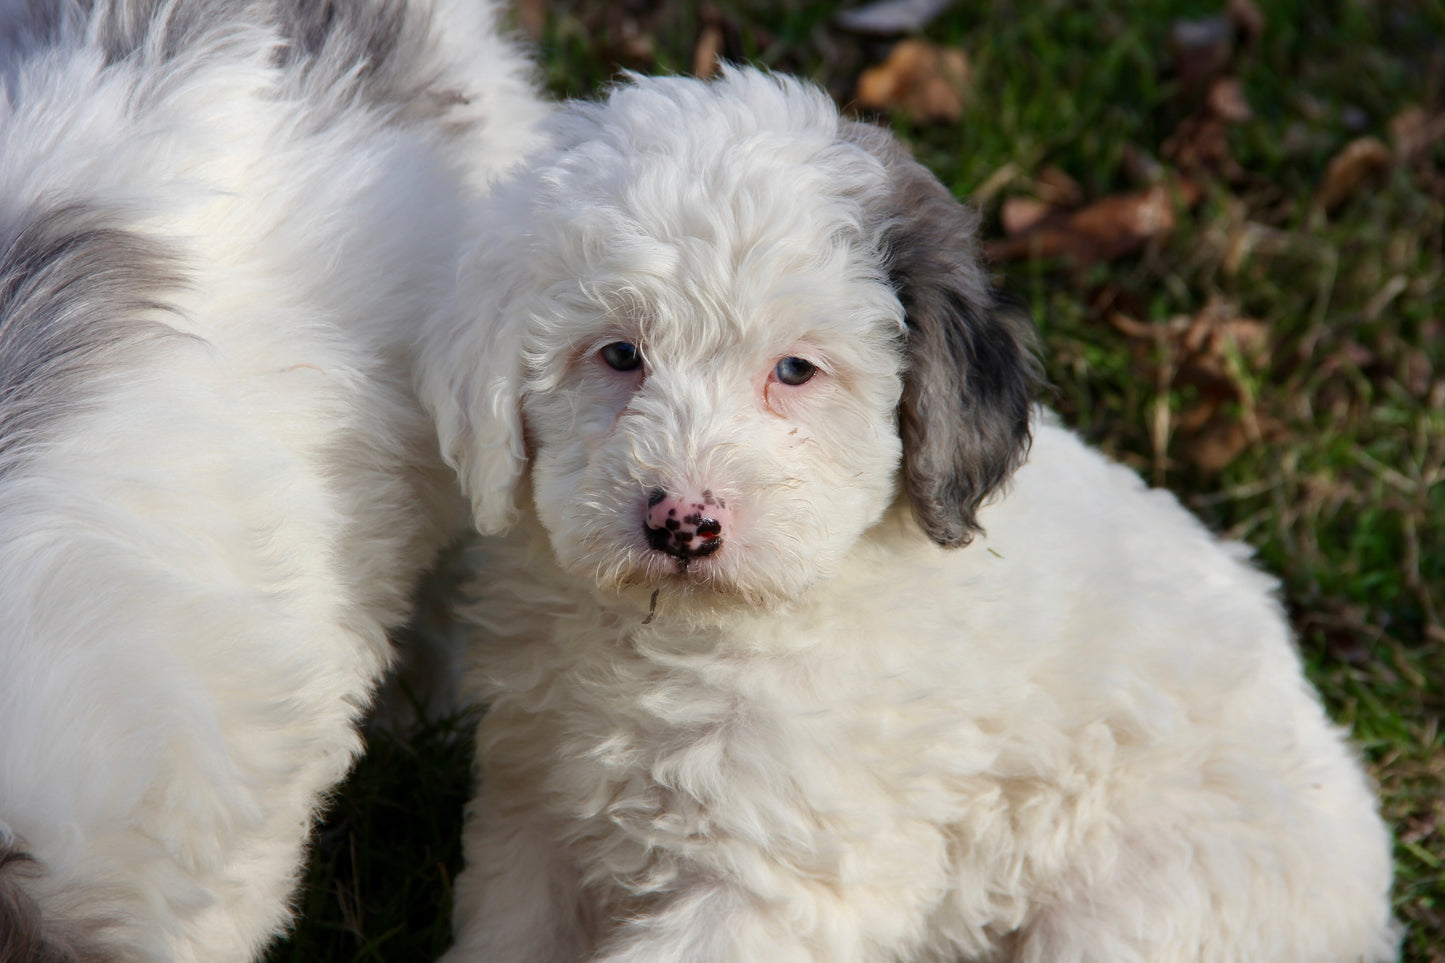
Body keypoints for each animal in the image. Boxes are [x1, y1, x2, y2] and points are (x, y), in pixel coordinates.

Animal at [424, 69, 1398, 960]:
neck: (680, 637)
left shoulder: (775, 878)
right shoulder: (533, 820)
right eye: (620, 354)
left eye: (795, 370)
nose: (682, 523)